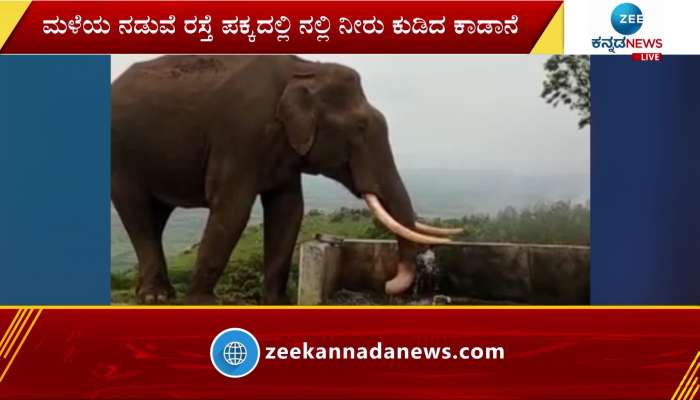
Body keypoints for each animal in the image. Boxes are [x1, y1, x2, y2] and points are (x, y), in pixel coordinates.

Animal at [112, 53, 462, 304]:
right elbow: (232, 208)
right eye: (360, 129)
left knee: (155, 214)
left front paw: (276, 302)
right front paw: (202, 303)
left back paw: (152, 294)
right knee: (135, 208)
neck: (305, 68)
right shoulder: (240, 134)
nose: (391, 284)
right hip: (121, 156)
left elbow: (288, 210)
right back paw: (157, 296)